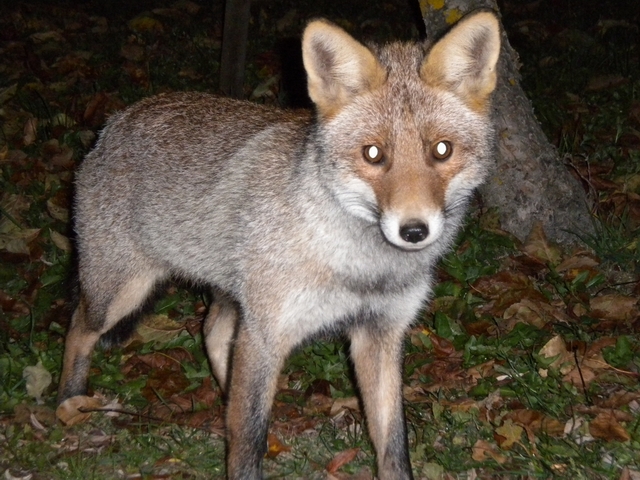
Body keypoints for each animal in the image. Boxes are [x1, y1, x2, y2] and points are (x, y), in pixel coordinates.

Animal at [58, 11, 501, 480]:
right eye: (373, 154)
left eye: (442, 150)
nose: (414, 231)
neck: (363, 270)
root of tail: (116, 121)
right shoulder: (266, 333)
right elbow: (249, 442)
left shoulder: (378, 333)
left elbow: (393, 445)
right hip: (121, 293)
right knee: (78, 327)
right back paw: (69, 402)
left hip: (231, 297)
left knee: (213, 332)